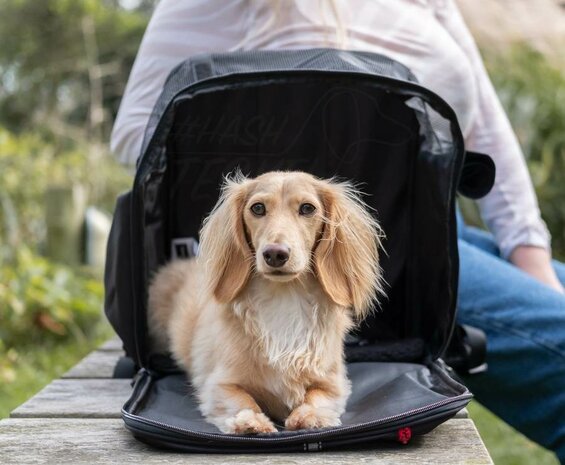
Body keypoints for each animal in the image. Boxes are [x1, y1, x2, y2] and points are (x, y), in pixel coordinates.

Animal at [148, 170, 384, 436]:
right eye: (258, 208)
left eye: (307, 208)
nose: (275, 254)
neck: (284, 299)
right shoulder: (218, 384)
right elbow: (241, 399)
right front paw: (249, 420)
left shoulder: (333, 383)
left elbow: (318, 396)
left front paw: (309, 416)